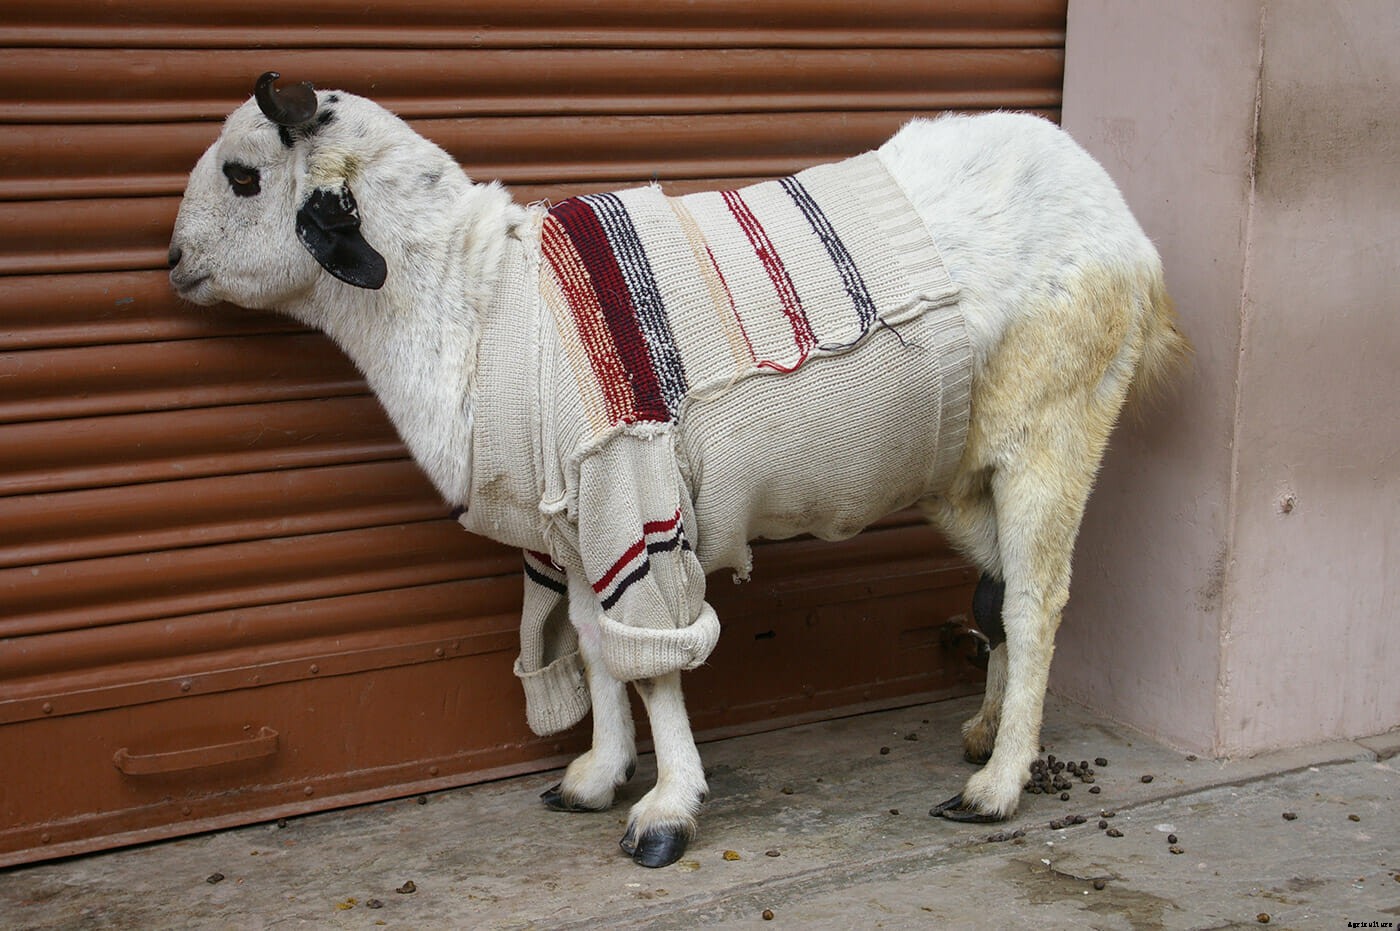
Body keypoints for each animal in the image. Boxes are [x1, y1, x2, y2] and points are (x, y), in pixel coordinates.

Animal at [169, 73, 1189, 868]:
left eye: (243, 176)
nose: (173, 260)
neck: (478, 301)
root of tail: (1128, 229)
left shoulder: (634, 496)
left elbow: (653, 663)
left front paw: (663, 813)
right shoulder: (575, 528)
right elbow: (593, 645)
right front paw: (596, 776)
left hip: (1055, 427)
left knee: (1036, 599)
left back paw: (997, 785)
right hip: (961, 468)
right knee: (997, 588)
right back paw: (982, 733)